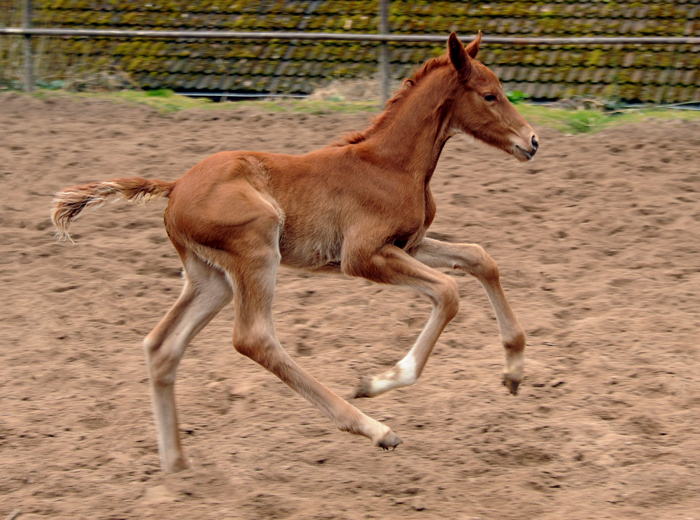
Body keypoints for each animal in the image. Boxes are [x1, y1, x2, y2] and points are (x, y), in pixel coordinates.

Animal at [53, 31, 536, 472]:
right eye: (490, 94)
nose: (532, 141)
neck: (391, 165)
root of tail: (174, 188)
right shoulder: (362, 256)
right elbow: (449, 292)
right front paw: (379, 380)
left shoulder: (410, 243)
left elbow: (480, 258)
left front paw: (514, 370)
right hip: (256, 247)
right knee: (253, 337)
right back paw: (373, 427)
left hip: (211, 279)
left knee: (161, 346)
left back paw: (176, 466)